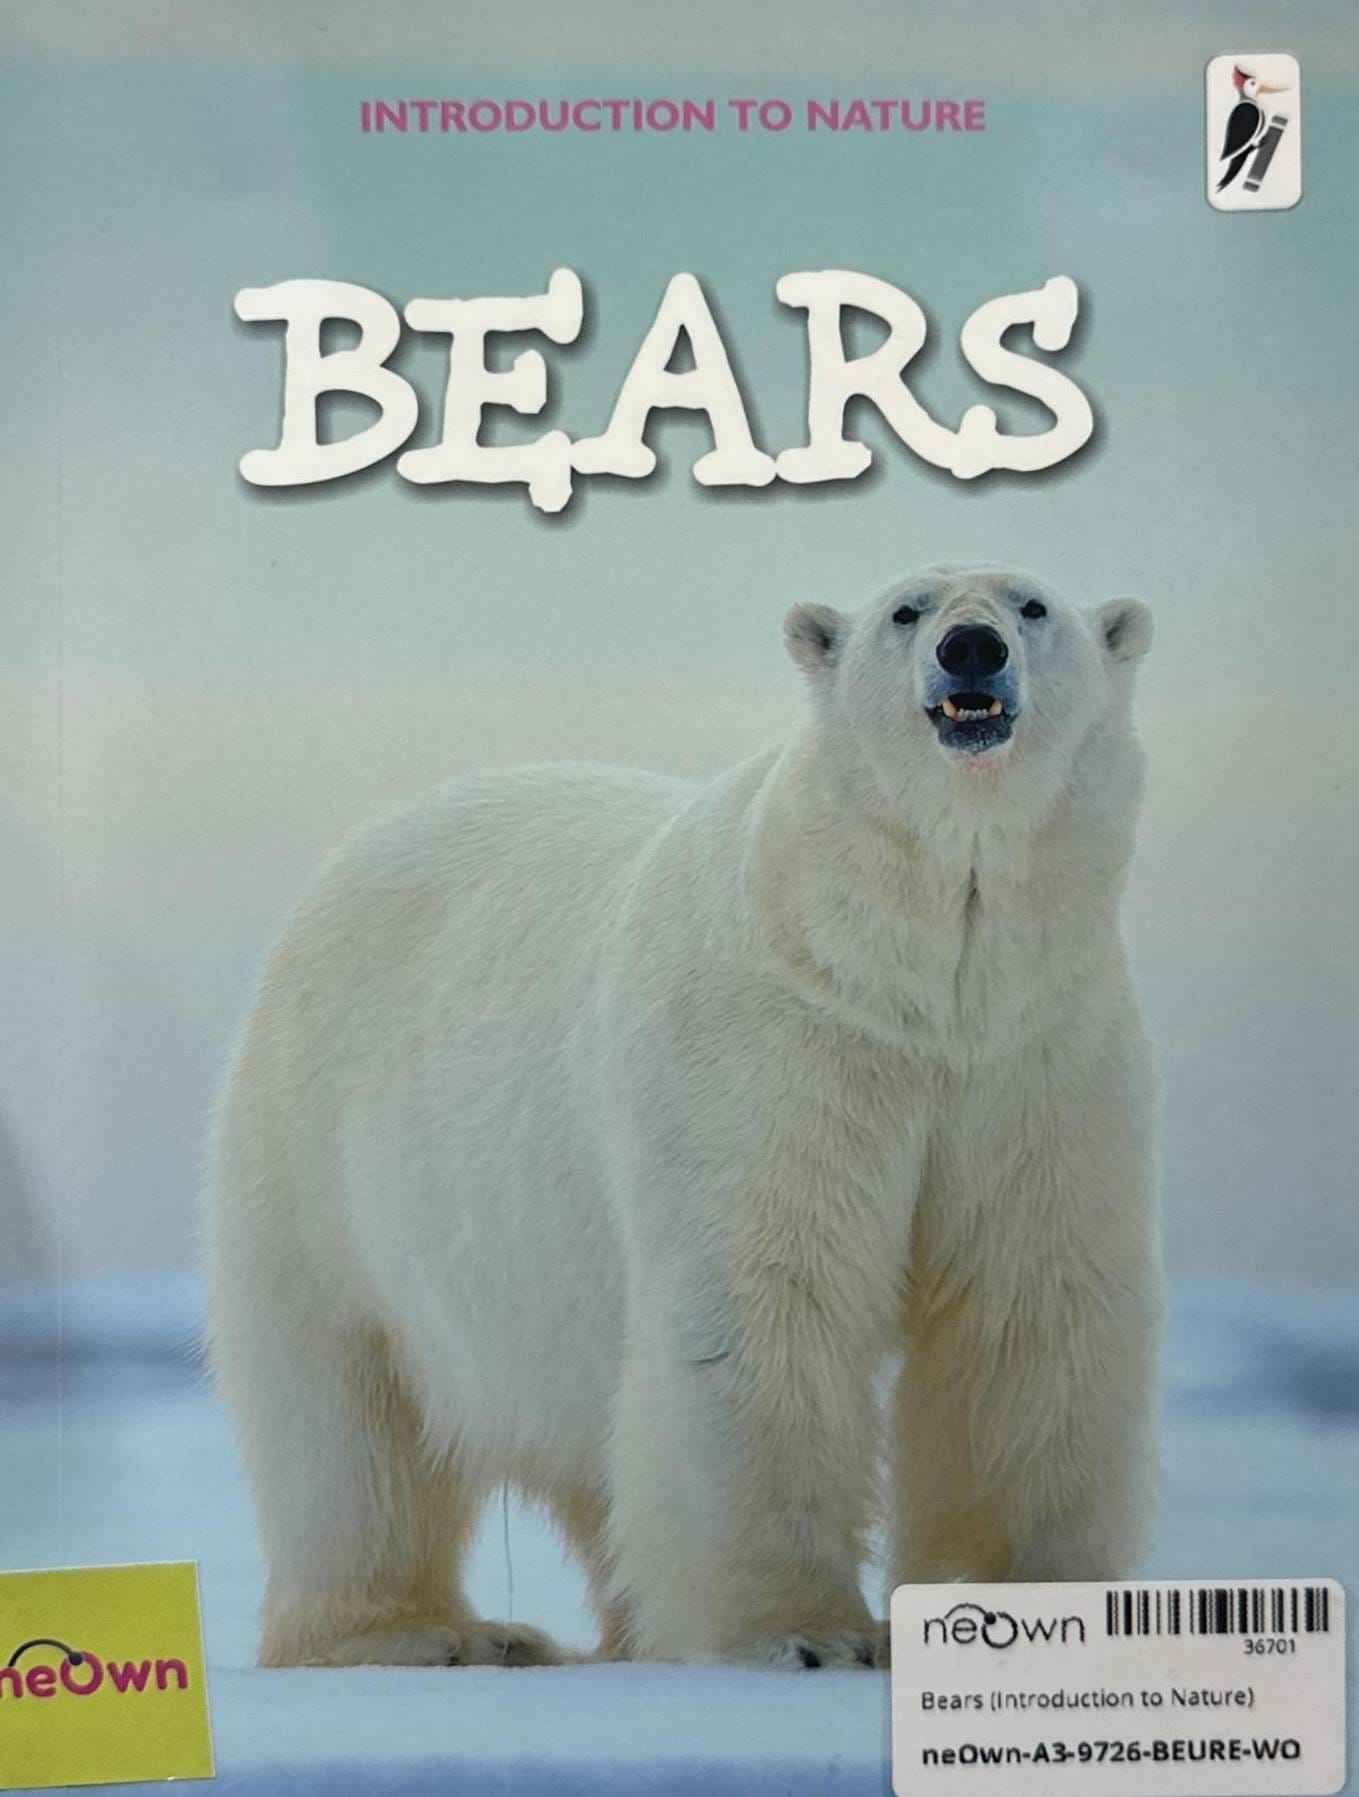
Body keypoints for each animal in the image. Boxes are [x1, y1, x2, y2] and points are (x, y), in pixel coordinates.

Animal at [207, 563, 1161, 1672]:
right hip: (318, 1165)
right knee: (346, 1425)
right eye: (907, 609)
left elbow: (1024, 1306)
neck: (908, 977)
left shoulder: (1033, 1055)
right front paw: (804, 1633)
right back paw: (427, 1632)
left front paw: (1024, 1606)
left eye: (1030, 604)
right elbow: (762, 1298)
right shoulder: (775, 1044)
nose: (972, 649)